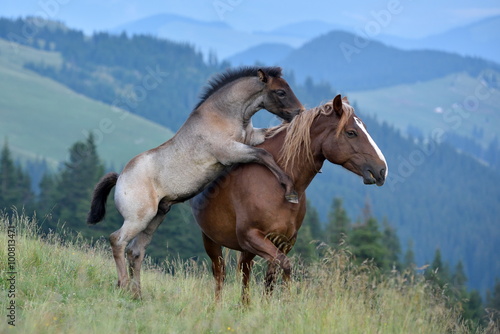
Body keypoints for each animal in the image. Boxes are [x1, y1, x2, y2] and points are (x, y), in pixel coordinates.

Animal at [87, 66, 302, 298]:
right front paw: (290, 190)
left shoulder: (252, 138)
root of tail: (120, 178)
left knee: (135, 251)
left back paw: (138, 294)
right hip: (138, 219)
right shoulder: (230, 151)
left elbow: (268, 136)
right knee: (117, 241)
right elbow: (264, 155)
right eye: (280, 92)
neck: (223, 115)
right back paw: (123, 285)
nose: (299, 112)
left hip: (155, 217)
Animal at [189, 94, 388, 302]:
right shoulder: (251, 236)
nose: (382, 170)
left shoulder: (283, 242)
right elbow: (285, 266)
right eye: (351, 133)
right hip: (211, 239)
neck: (278, 184)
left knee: (244, 269)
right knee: (220, 273)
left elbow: (271, 278)